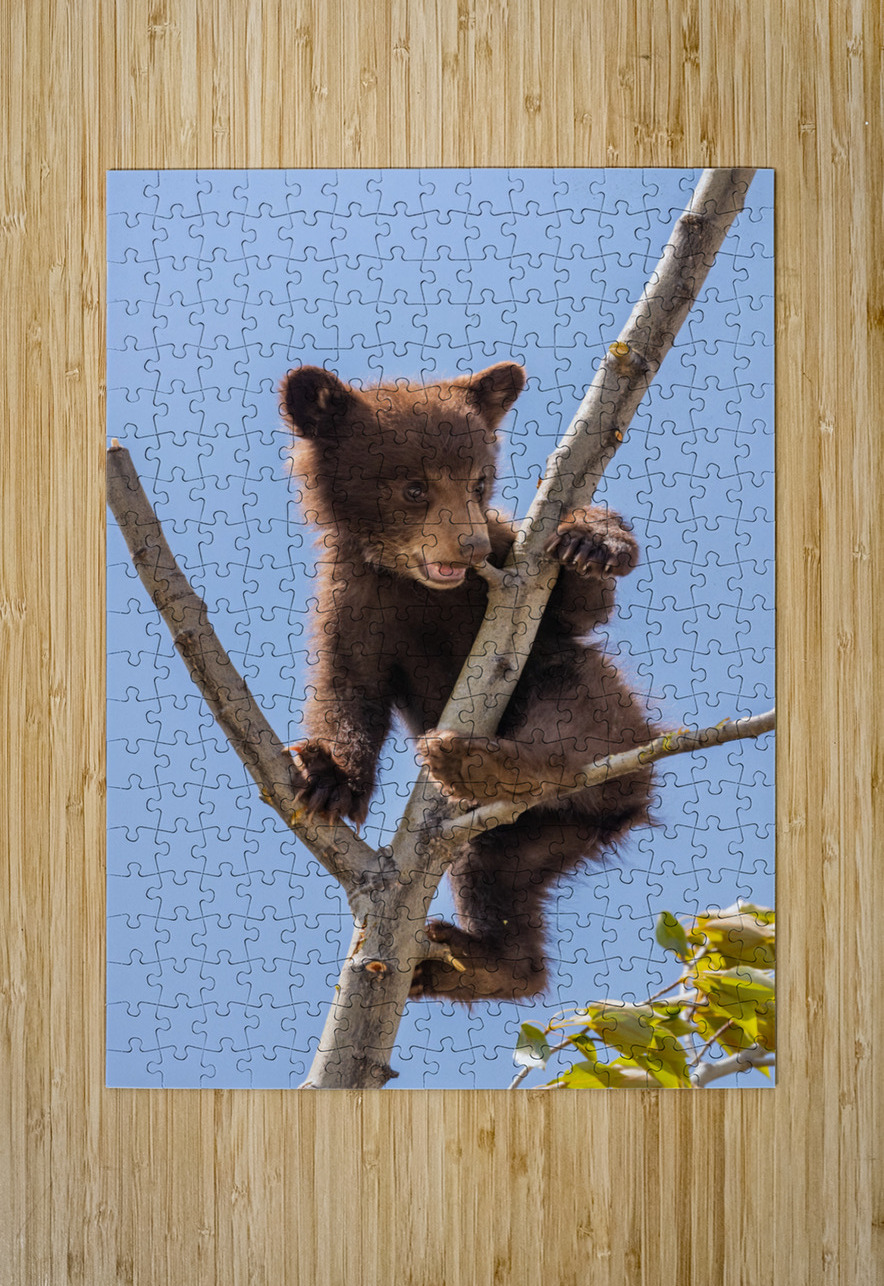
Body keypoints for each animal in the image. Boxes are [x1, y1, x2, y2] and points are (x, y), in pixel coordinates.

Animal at [279, 361, 654, 1002]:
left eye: (480, 483)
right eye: (414, 487)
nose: (470, 544)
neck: (418, 586)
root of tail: (619, 808)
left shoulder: (507, 569)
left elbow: (573, 612)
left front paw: (593, 539)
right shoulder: (352, 605)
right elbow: (347, 688)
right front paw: (328, 776)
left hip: (607, 732)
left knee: (574, 704)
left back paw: (489, 762)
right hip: (536, 838)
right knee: (494, 875)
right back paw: (484, 964)